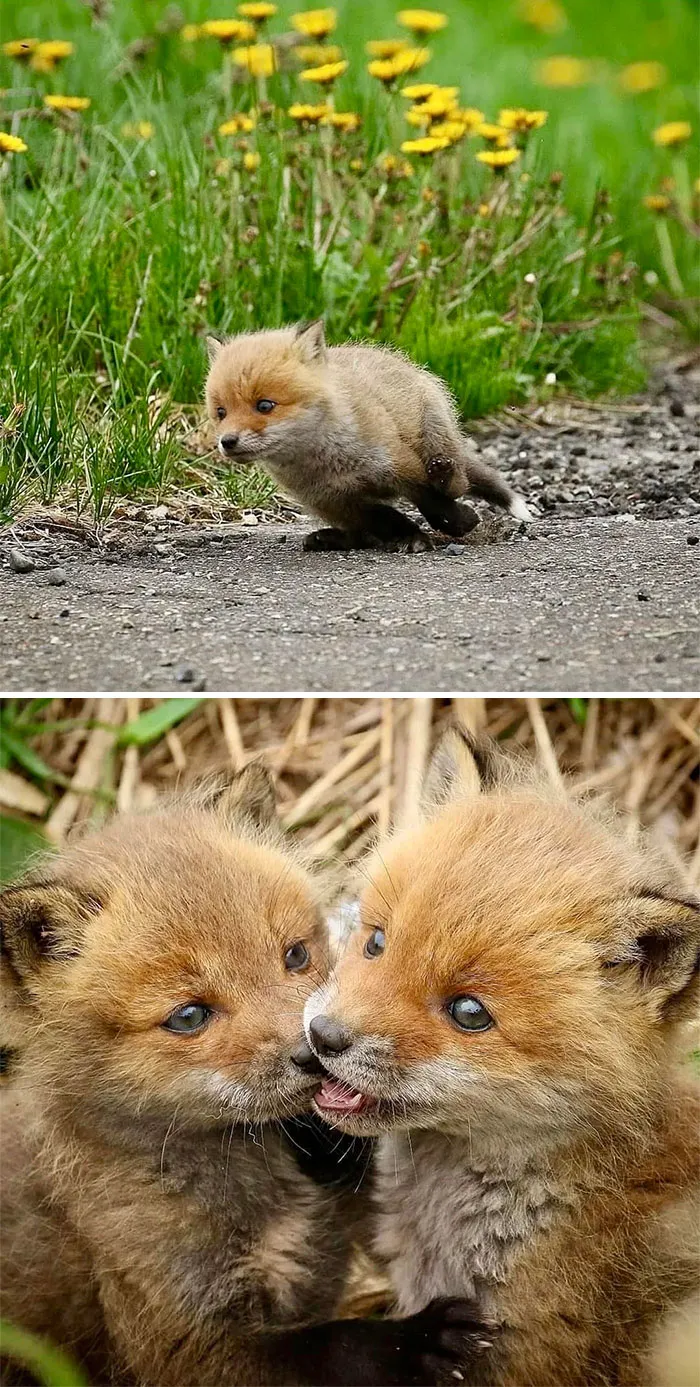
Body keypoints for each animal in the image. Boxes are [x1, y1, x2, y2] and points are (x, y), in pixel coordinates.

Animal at [0, 763, 494, 1387]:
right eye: (189, 1016)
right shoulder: (185, 1342)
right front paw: (415, 1340)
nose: (313, 1050)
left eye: (295, 955)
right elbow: (331, 1345)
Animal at [205, 320, 532, 551]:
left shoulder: (402, 467)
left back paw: (445, 477)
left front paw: (459, 522)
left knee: (456, 482)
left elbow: (434, 503)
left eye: (264, 406)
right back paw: (333, 539)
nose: (227, 442)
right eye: (221, 412)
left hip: (436, 435)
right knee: (362, 533)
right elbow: (386, 519)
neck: (329, 463)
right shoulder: (333, 501)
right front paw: (410, 536)